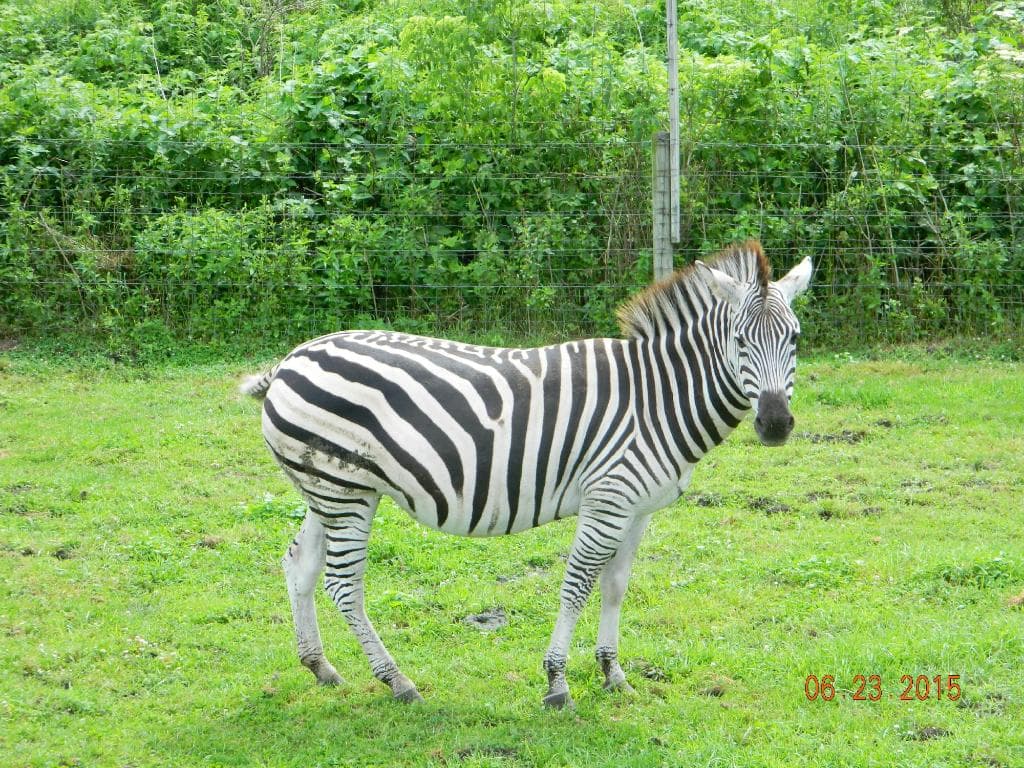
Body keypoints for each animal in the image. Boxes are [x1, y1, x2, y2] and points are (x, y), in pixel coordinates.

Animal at [241, 241, 812, 708]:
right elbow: (577, 585)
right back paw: (397, 681)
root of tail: (290, 360)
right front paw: (557, 683)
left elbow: (615, 586)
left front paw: (613, 673)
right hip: (345, 491)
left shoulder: (638, 508)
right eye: (740, 340)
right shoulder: (608, 499)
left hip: (330, 488)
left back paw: (320, 666)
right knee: (343, 584)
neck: (657, 397)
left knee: (300, 564)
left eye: (795, 340)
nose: (776, 423)